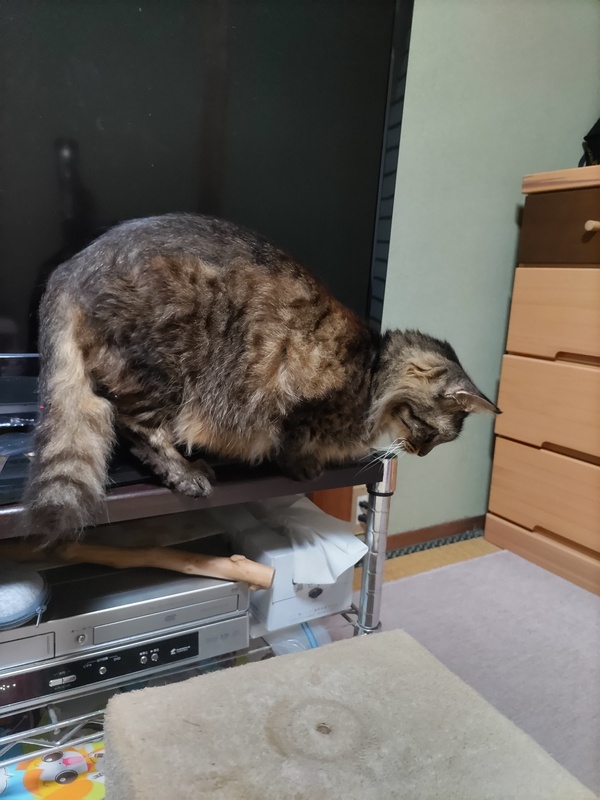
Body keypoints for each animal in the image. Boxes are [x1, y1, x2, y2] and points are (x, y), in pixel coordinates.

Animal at [23, 213, 499, 542]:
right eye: (431, 432)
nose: (421, 453)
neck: (374, 369)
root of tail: (70, 269)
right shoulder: (299, 400)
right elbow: (294, 442)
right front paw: (308, 465)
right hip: (167, 365)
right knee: (136, 428)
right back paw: (186, 472)